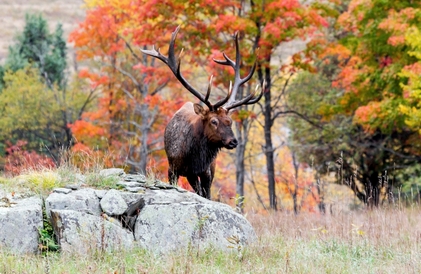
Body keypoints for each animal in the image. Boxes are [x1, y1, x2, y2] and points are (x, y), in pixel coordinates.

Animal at [141, 26, 262, 199]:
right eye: (213, 121)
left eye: (230, 121)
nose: (233, 141)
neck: (193, 158)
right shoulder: (172, 168)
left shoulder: (205, 172)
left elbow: (207, 194)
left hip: (208, 169)